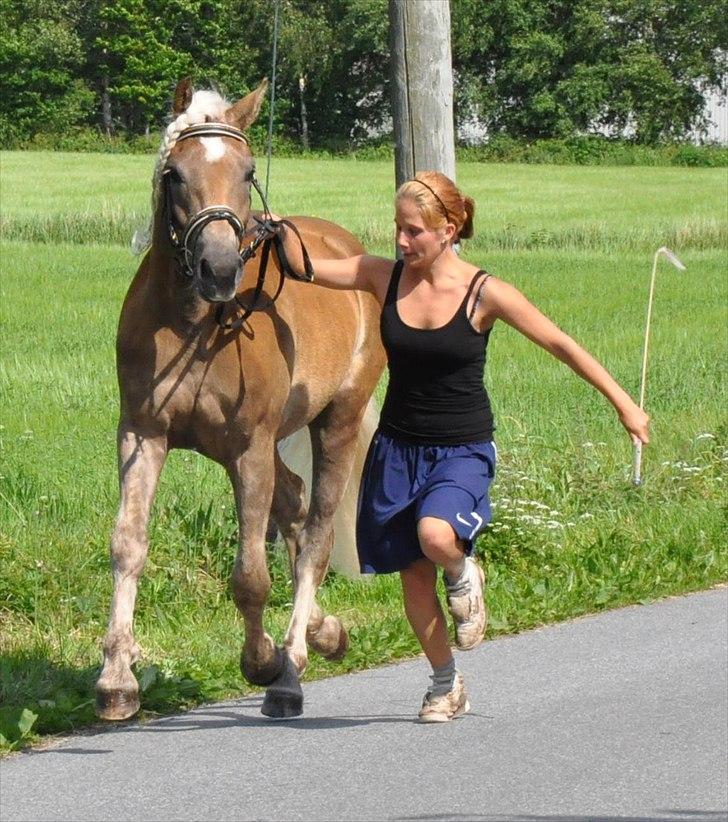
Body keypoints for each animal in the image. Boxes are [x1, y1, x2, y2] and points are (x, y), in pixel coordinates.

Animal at [96, 79, 386, 720]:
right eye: (175, 173)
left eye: (248, 170)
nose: (220, 267)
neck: (195, 326)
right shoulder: (143, 435)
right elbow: (129, 545)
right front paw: (116, 682)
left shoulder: (249, 448)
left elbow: (252, 574)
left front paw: (262, 663)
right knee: (295, 503)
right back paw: (325, 633)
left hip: (337, 421)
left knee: (317, 535)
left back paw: (293, 664)